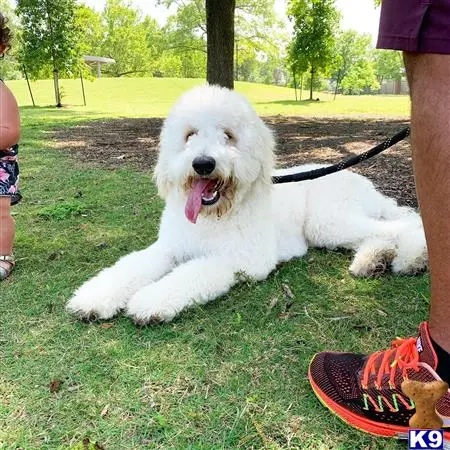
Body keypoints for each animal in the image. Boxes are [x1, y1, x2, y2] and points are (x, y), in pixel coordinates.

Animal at [65, 84, 428, 324]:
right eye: (189, 135)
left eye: (228, 135)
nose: (203, 164)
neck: (213, 216)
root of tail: (359, 178)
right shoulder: (169, 248)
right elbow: (131, 266)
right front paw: (94, 297)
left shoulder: (241, 259)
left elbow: (191, 274)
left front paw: (151, 300)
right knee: (380, 233)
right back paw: (373, 260)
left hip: (328, 221)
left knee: (405, 224)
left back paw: (411, 258)